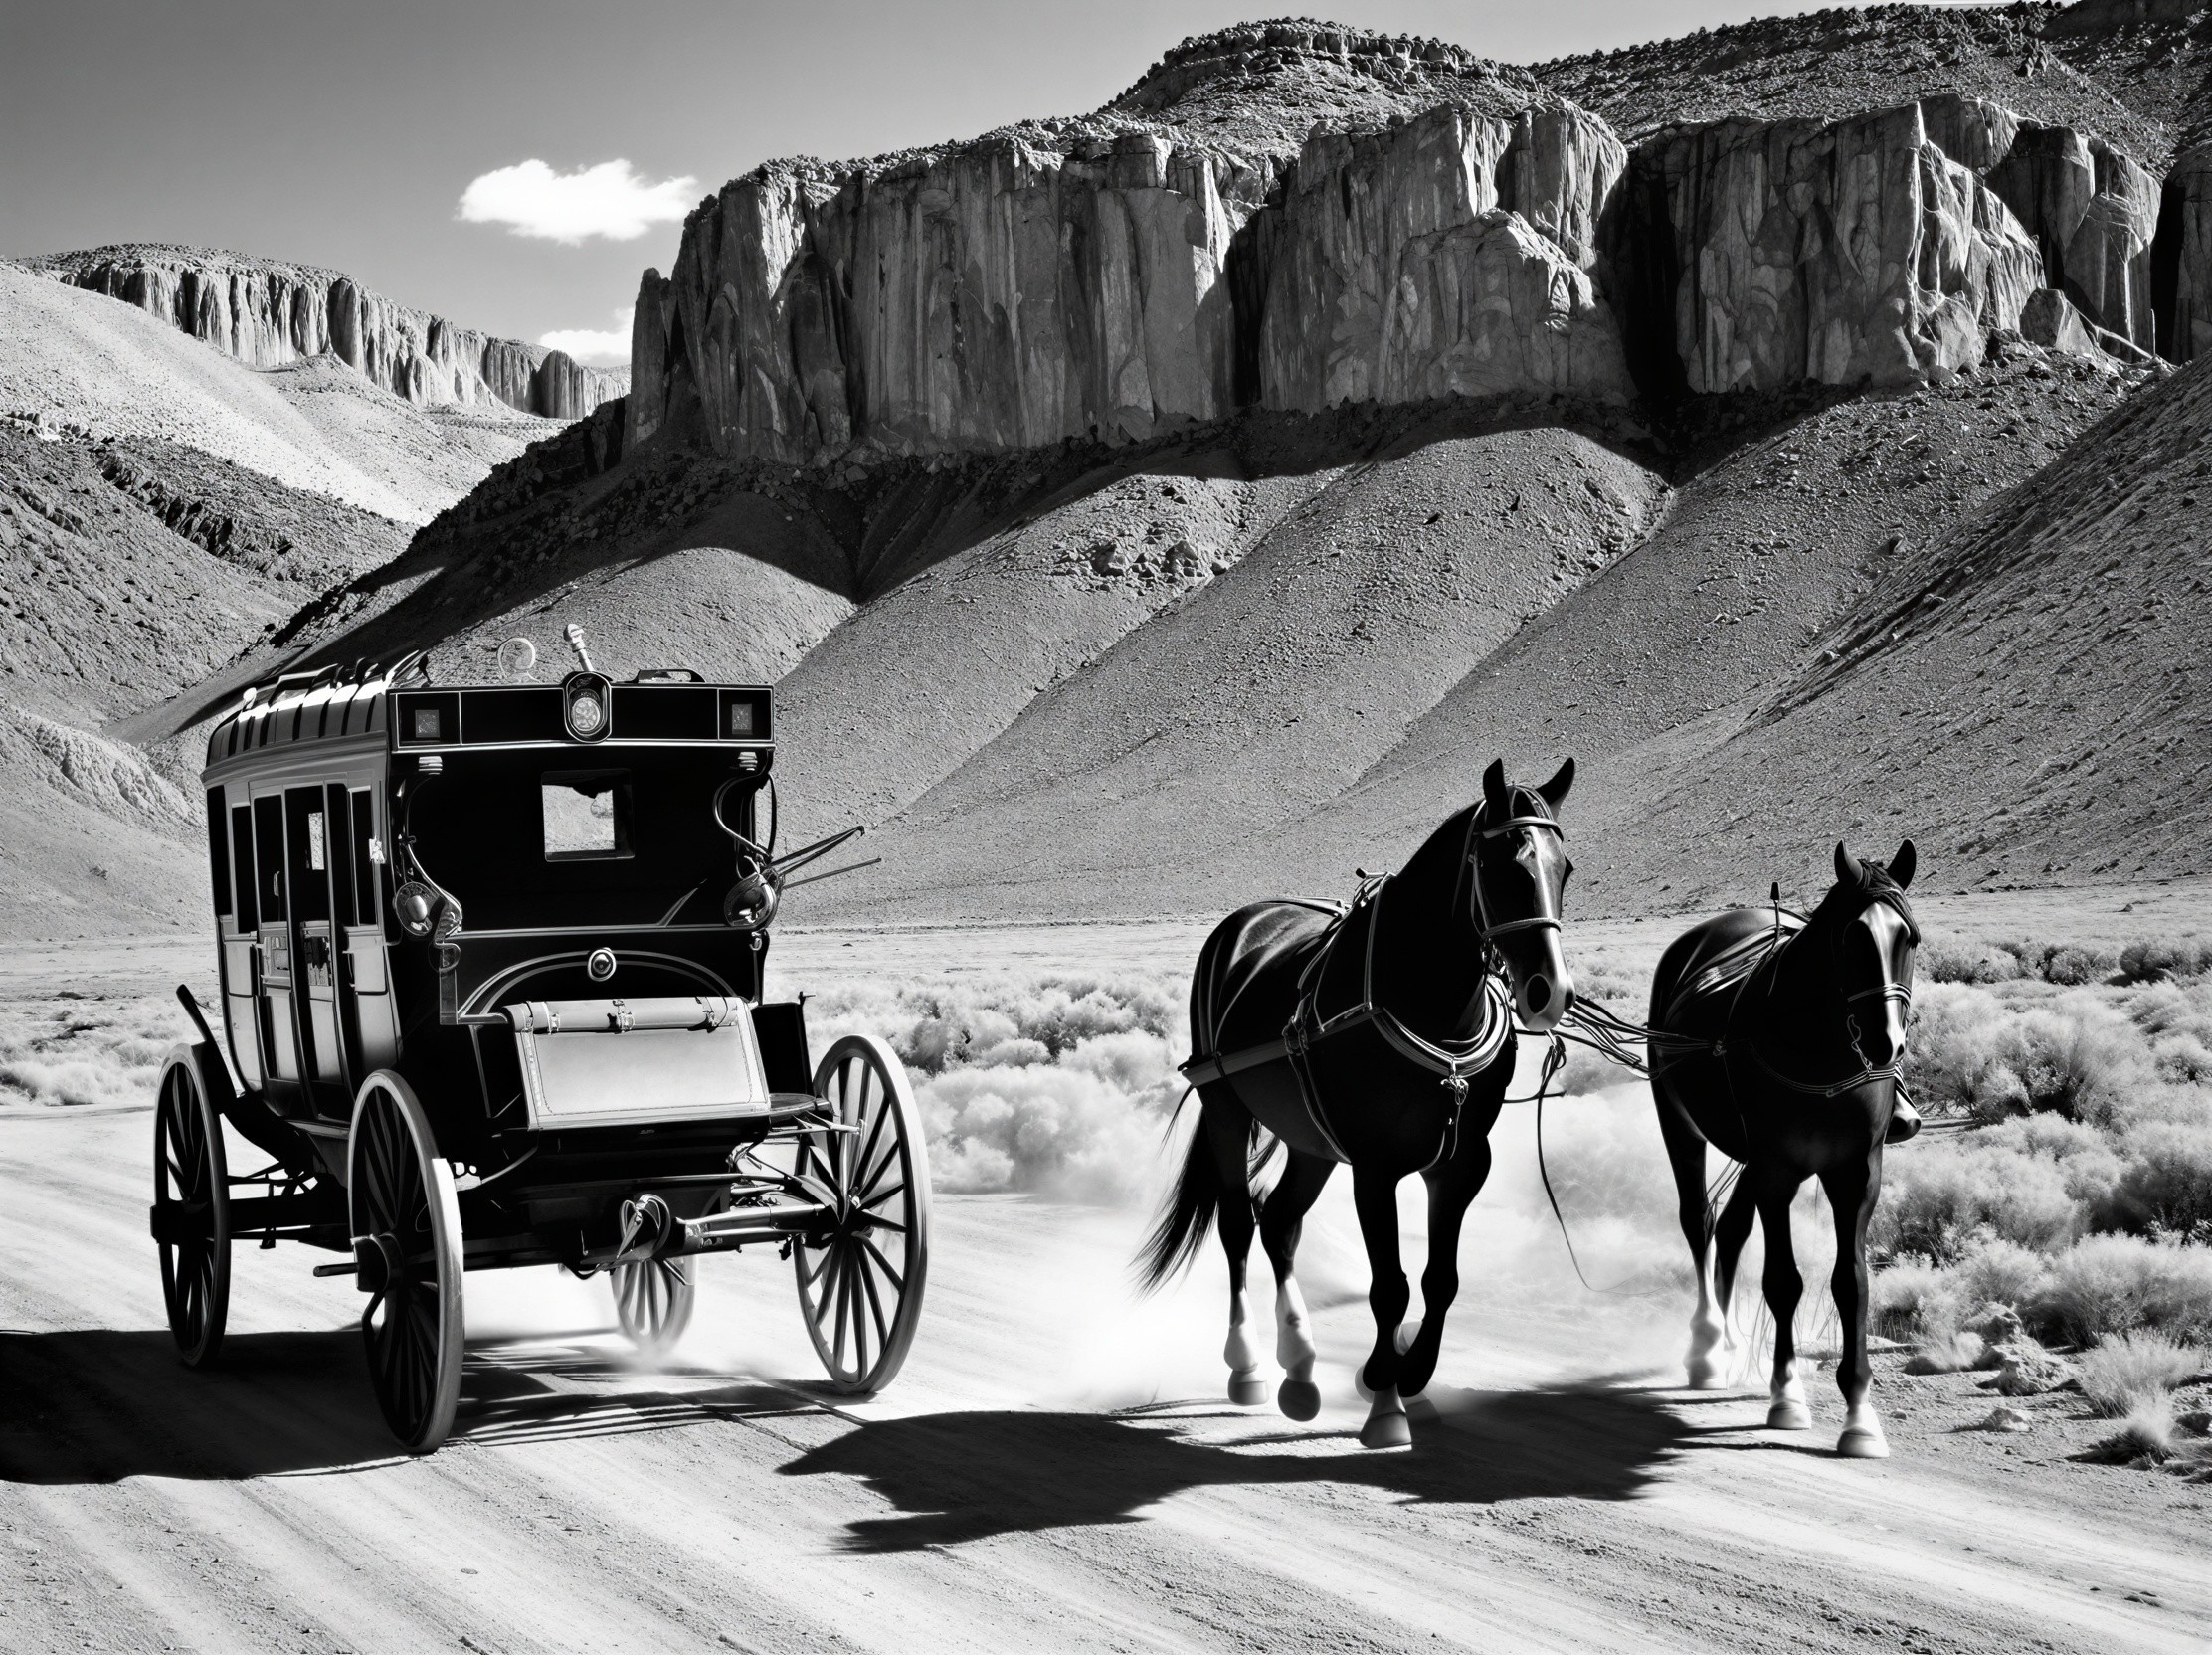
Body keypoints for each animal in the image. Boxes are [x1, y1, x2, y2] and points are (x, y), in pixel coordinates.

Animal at [1138, 758, 1577, 1449]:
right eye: (1504, 865)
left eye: (1566, 869)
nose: (1548, 991)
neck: (1431, 1003)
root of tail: (1242, 923)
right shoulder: (1376, 1166)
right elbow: (1389, 1287)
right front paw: (1385, 1404)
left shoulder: (1461, 1163)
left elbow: (1441, 1279)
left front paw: (1409, 1374)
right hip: (1227, 1107)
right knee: (1238, 1224)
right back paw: (1250, 1368)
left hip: (1311, 1139)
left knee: (1280, 1221)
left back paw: (1300, 1372)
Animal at [1648, 841, 1920, 1459]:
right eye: (1852, 937)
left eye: (1909, 938)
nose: (1886, 1043)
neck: (1822, 1055)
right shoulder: (1778, 1171)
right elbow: (1784, 1281)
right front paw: (1787, 1394)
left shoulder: (1856, 1174)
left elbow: (1852, 1283)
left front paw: (1860, 1416)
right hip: (1681, 1125)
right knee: (1698, 1222)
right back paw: (1706, 1345)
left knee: (1730, 1228)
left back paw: (1724, 1342)